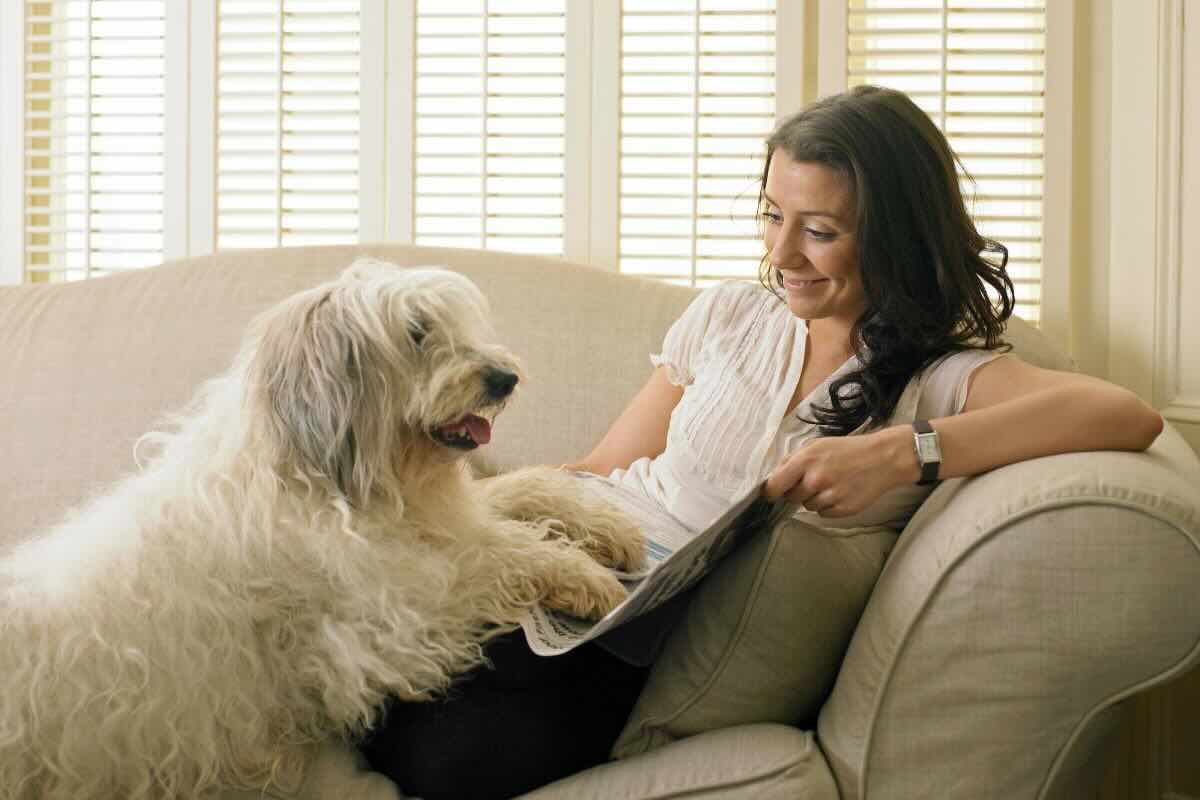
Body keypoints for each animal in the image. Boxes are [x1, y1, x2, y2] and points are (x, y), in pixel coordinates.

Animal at [2, 260, 648, 796]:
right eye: (416, 334)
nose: (503, 378)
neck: (318, 476)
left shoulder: (439, 522)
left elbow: (519, 493)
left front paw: (607, 527)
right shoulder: (391, 617)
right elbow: (497, 556)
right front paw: (586, 579)